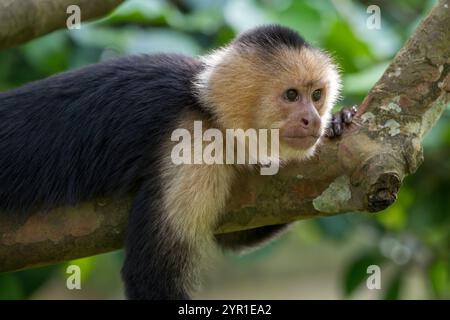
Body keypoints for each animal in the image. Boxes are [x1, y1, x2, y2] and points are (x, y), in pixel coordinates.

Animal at [0, 25, 356, 300]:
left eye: (317, 95)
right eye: (292, 95)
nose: (314, 120)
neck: (206, 110)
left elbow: (232, 237)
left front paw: (339, 119)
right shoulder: (194, 147)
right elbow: (150, 276)